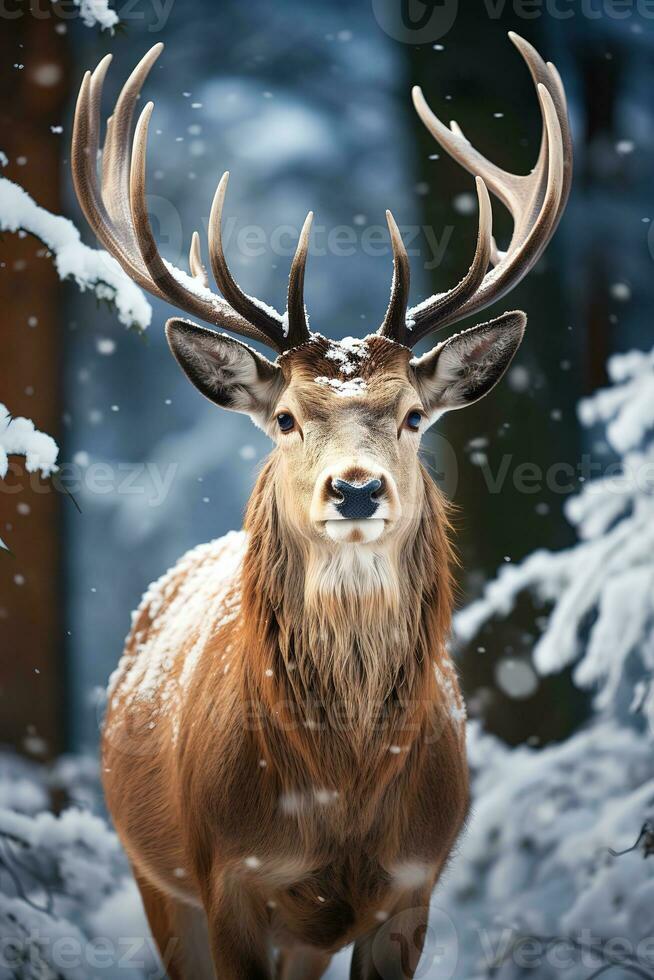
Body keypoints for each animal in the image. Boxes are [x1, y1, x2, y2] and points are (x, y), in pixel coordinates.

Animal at [72, 32, 572, 980]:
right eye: (285, 418)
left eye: (412, 415)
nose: (356, 486)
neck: (337, 788)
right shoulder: (227, 875)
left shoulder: (412, 885)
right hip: (153, 874)